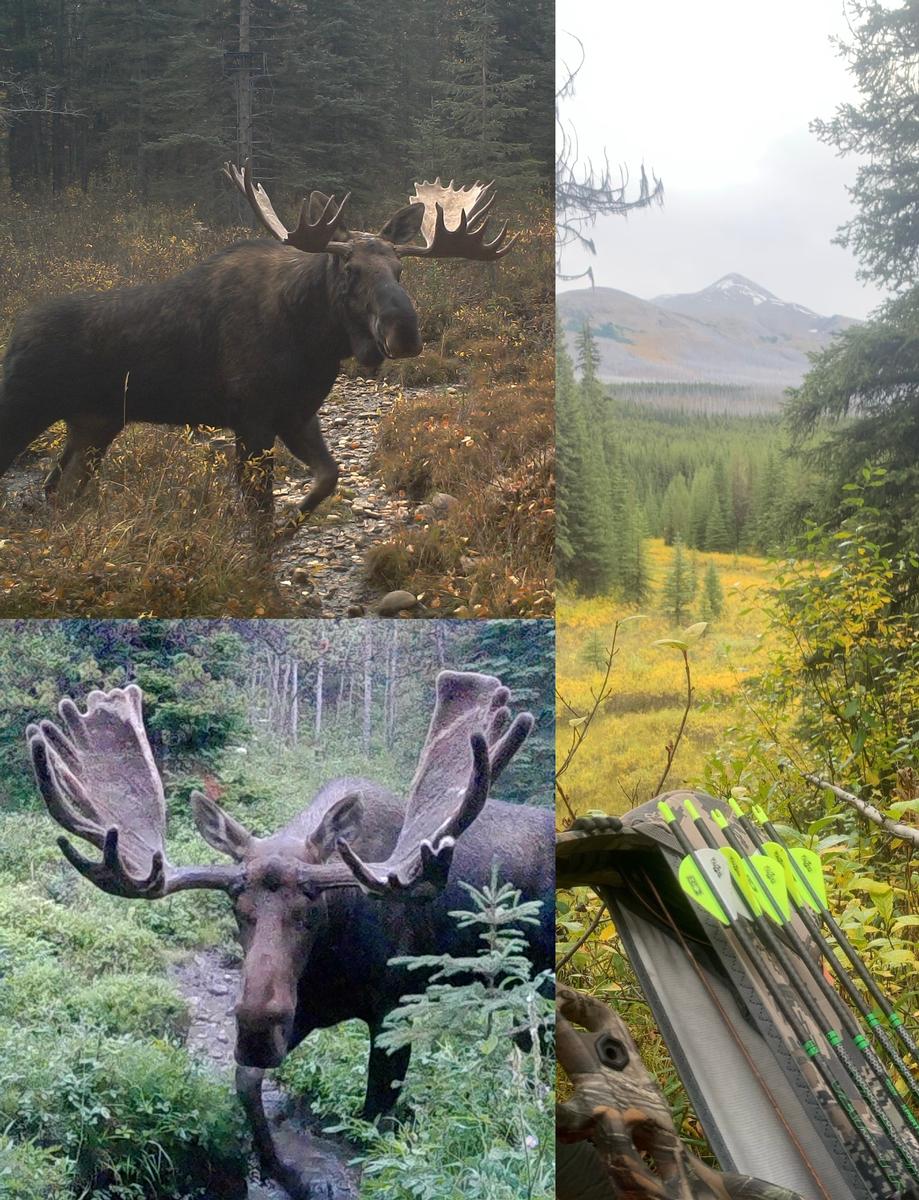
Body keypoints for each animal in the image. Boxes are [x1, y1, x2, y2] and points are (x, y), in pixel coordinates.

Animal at [0, 164, 516, 532]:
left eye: (400, 270)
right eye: (349, 269)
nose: (404, 332)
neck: (313, 343)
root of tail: (16, 333)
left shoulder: (296, 415)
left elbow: (327, 478)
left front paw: (292, 525)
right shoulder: (251, 419)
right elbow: (259, 513)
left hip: (94, 424)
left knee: (58, 488)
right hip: (24, 407)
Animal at [27, 671, 553, 1200]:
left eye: (310, 905)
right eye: (236, 904)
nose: (257, 1026)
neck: (332, 960)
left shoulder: (394, 1006)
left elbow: (376, 1121)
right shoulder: (304, 1009)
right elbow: (245, 1081)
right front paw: (275, 1165)